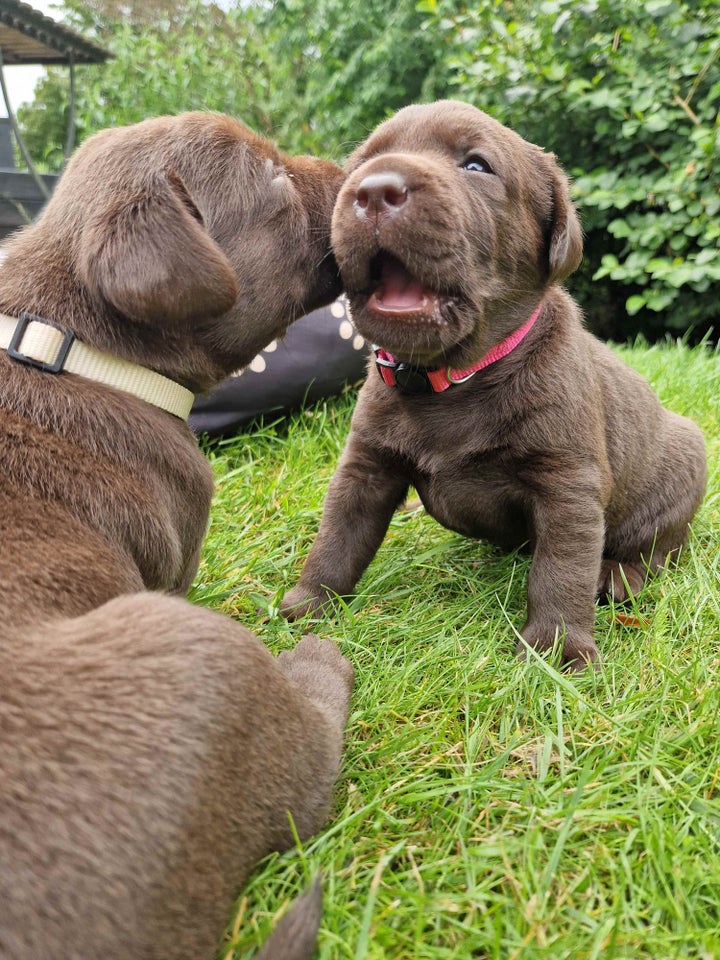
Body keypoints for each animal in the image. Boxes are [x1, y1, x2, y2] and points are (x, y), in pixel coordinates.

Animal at [0, 114, 354, 960]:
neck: (74, 345)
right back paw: (317, 660)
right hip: (204, 662)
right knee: (306, 771)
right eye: (274, 181)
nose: (357, 172)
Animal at [282, 97, 708, 668]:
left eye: (476, 166)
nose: (372, 191)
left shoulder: (567, 483)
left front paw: (558, 650)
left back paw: (620, 576)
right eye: (360, 165)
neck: (458, 375)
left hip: (683, 472)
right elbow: (338, 536)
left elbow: (561, 569)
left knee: (657, 547)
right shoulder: (365, 466)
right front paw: (308, 603)